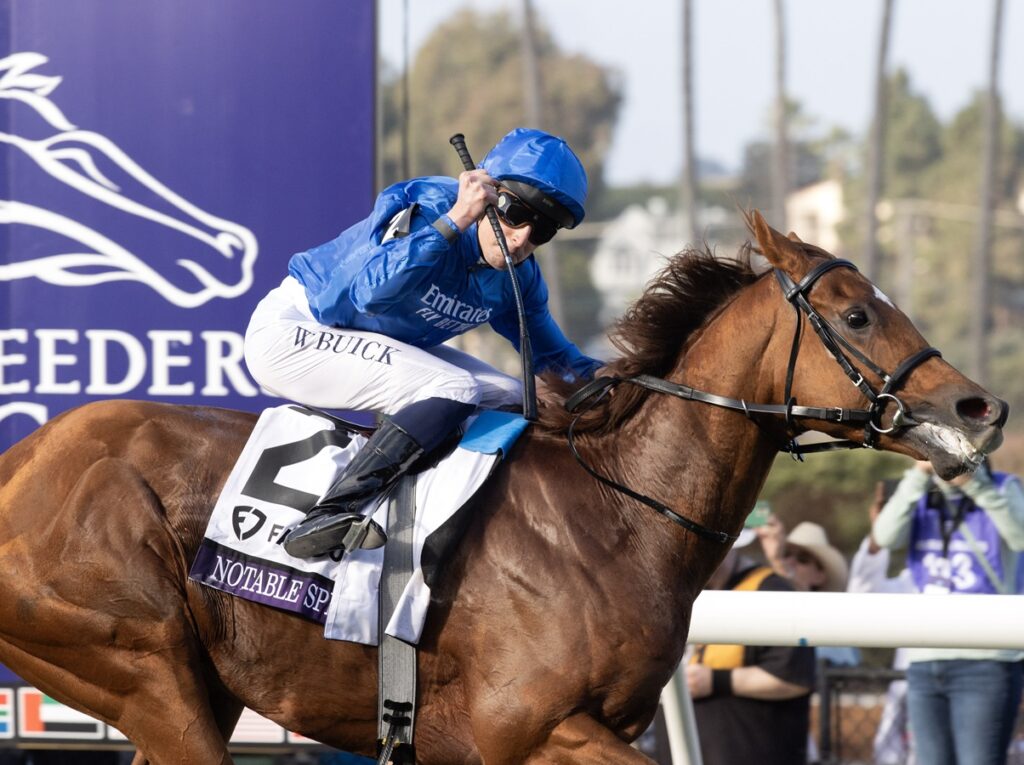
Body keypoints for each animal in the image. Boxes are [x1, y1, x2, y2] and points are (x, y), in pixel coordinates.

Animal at [0, 212, 1006, 764]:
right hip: (134, 658)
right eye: (856, 314)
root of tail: (27, 455)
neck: (619, 514)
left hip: (185, 685)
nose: (981, 405)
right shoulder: (522, 727)